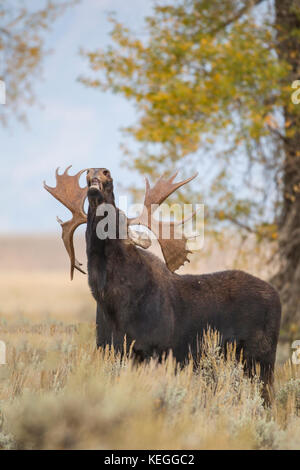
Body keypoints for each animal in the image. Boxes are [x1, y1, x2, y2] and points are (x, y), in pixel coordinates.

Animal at [44, 167, 282, 402]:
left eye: (118, 214)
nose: (99, 171)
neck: (113, 303)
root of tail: (277, 297)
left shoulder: (155, 350)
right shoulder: (110, 350)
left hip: (261, 356)